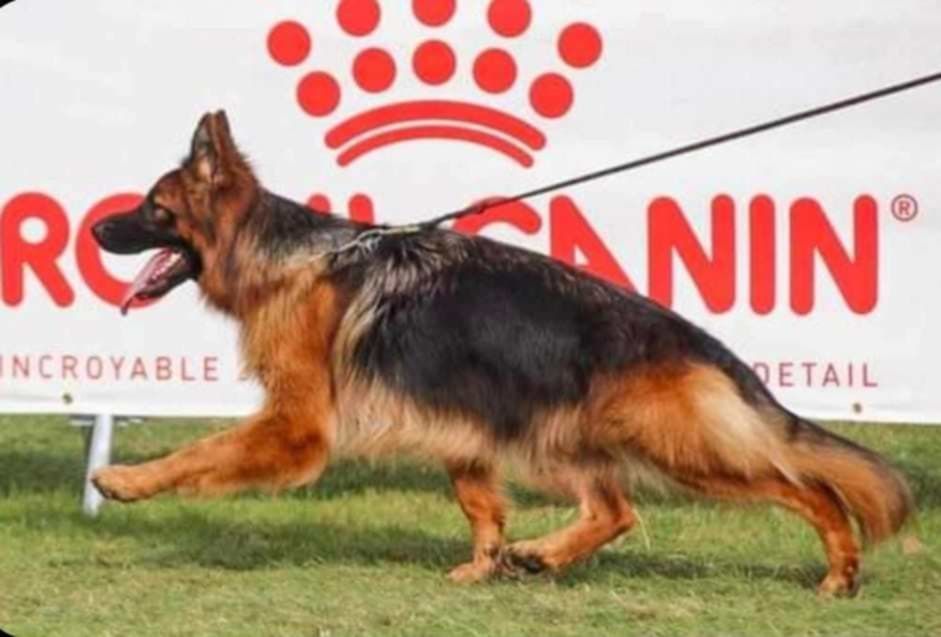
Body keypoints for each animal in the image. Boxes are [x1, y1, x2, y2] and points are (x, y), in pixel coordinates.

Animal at [90, 112, 912, 592]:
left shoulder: (295, 427)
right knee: (614, 509)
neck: (287, 256)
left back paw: (841, 569)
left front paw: (126, 481)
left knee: (807, 486)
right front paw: (484, 563)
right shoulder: (461, 420)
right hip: (568, 435)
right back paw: (540, 555)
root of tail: (696, 341)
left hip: (674, 445)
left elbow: (201, 452)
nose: (95, 228)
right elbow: (478, 502)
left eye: (152, 208)